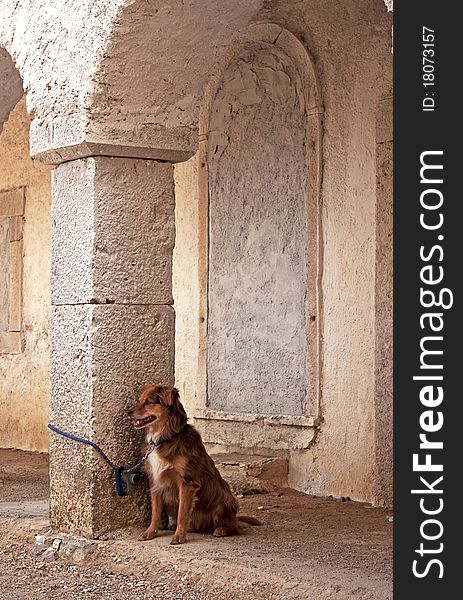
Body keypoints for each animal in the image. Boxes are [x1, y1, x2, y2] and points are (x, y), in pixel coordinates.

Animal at [127, 384, 260, 544]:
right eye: (139, 400)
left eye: (149, 402)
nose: (127, 411)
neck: (166, 437)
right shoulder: (156, 480)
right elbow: (156, 512)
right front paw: (150, 532)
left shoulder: (187, 482)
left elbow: (182, 513)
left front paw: (179, 536)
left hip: (224, 500)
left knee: (234, 526)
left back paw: (221, 530)